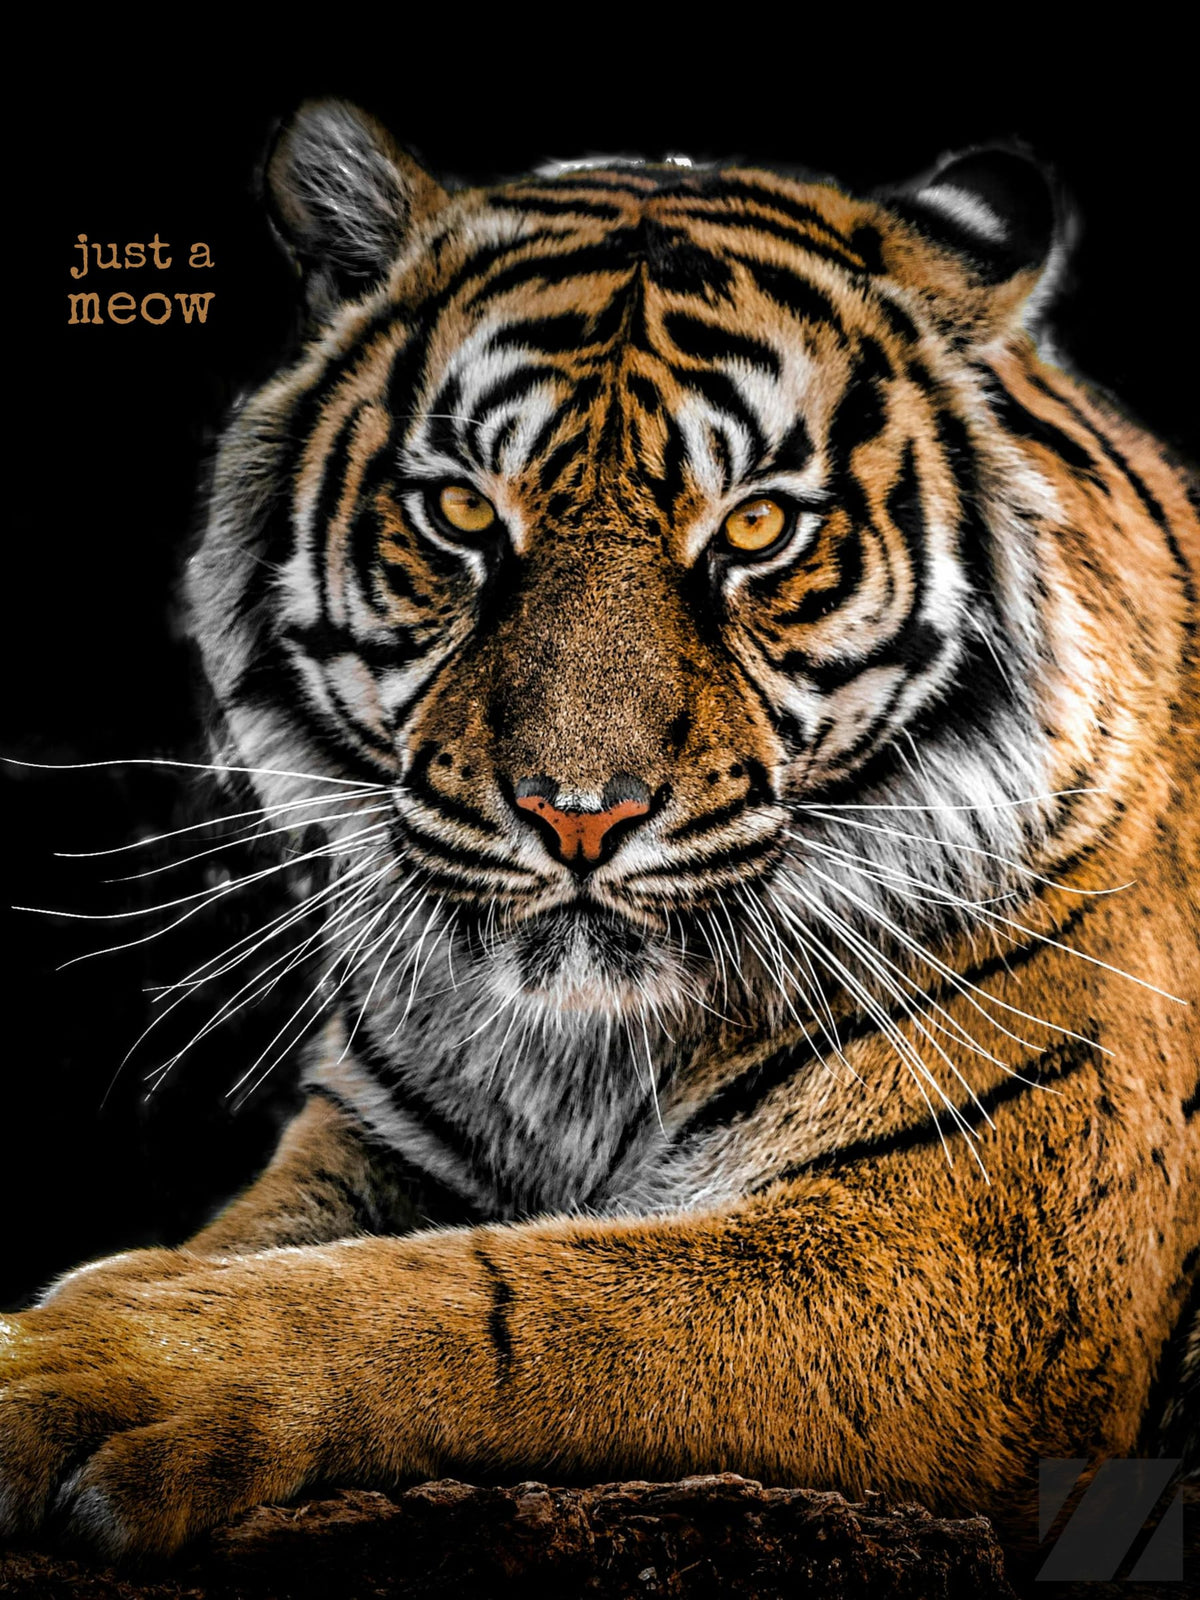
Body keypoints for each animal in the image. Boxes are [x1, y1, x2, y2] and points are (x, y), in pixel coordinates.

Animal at [1, 99, 1196, 1564]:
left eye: (757, 526)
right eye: (462, 510)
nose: (582, 816)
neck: (584, 1057)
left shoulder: (983, 1271)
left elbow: (507, 1302)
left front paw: (96, 1370)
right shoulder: (376, 1138)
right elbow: (268, 1240)